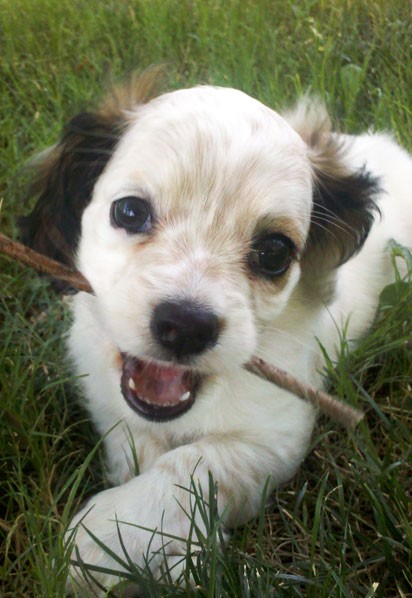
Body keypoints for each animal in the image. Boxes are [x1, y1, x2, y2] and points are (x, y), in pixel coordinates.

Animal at [19, 71, 412, 596]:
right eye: (129, 212)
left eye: (274, 252)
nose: (185, 327)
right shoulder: (110, 404)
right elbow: (138, 451)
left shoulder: (274, 437)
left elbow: (192, 466)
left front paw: (101, 539)